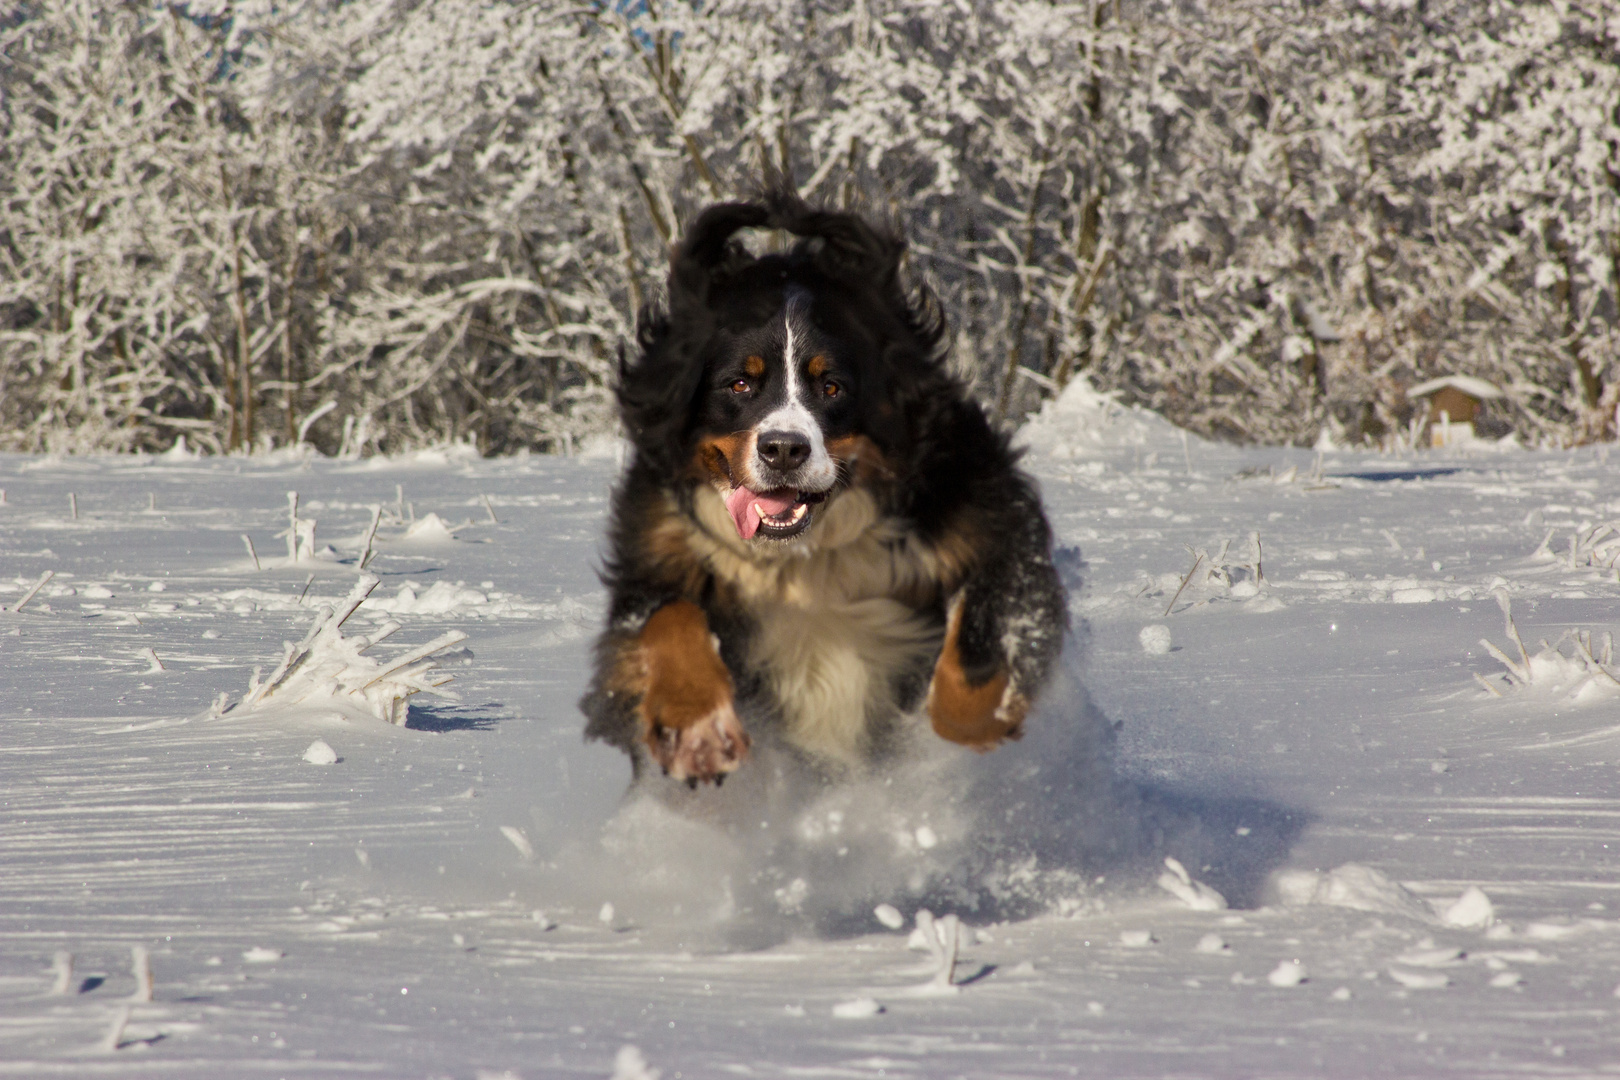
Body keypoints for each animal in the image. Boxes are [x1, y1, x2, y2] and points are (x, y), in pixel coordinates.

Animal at [579, 191, 1062, 786]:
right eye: (740, 383)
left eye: (831, 386)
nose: (784, 449)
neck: (807, 557)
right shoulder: (657, 548)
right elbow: (664, 619)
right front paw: (698, 734)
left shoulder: (985, 518)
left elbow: (984, 634)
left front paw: (979, 723)